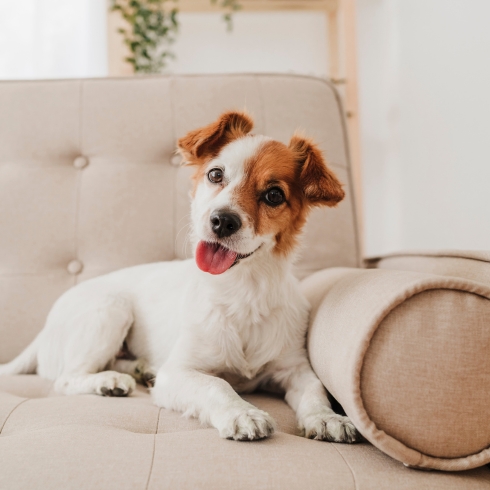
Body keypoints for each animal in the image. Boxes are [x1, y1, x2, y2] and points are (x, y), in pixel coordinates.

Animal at [0, 111, 360, 444]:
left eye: (274, 195)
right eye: (216, 174)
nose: (222, 221)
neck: (242, 289)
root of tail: (43, 330)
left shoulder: (294, 368)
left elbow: (316, 390)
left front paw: (327, 418)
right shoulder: (178, 373)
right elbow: (218, 384)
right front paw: (242, 413)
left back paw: (138, 369)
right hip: (111, 308)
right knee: (66, 377)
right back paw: (108, 381)